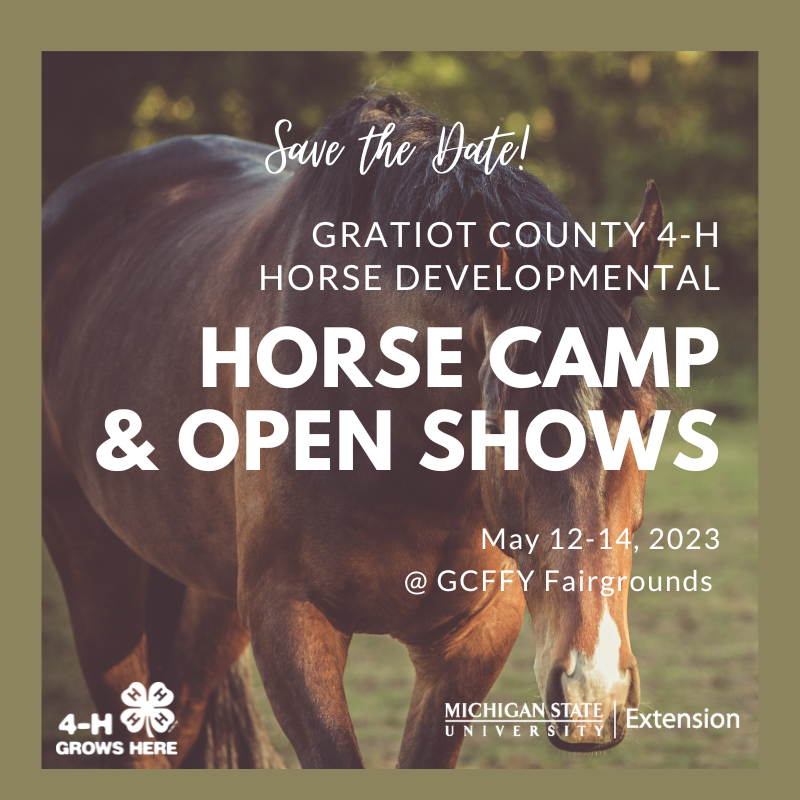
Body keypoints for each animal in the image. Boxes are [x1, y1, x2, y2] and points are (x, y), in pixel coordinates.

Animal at [42, 91, 663, 768]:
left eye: (648, 414)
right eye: (499, 421)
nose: (591, 689)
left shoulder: (473, 637)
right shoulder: (289, 623)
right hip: (94, 560)